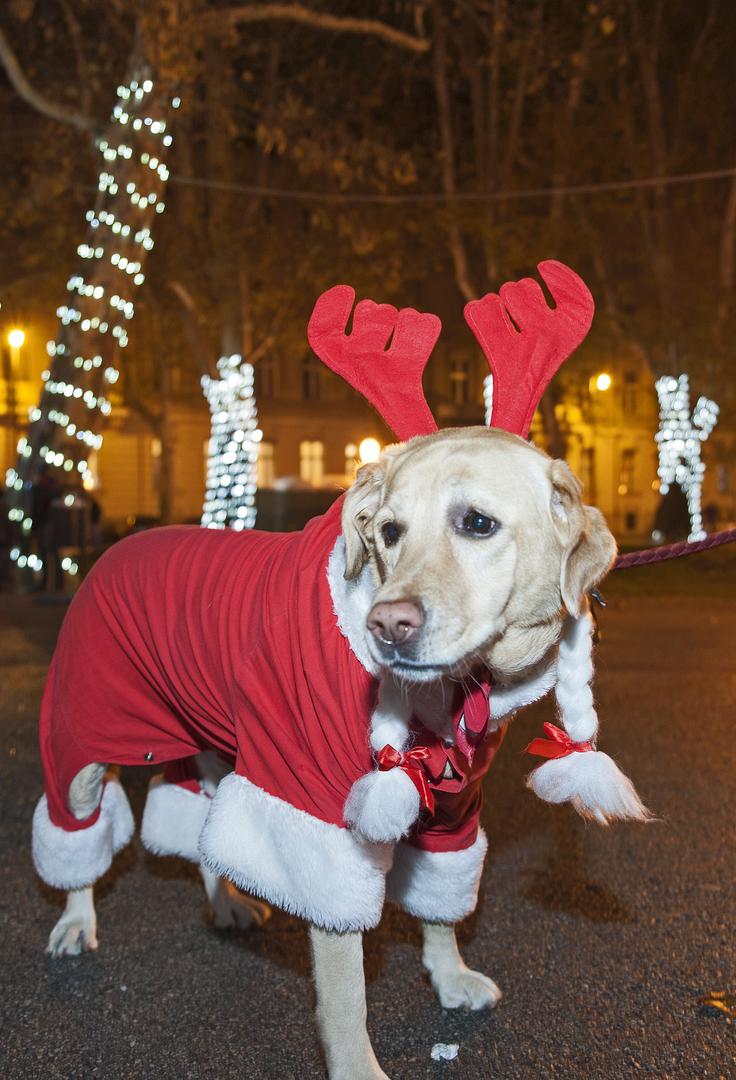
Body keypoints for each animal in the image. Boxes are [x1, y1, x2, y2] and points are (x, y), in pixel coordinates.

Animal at [31, 424, 647, 1080]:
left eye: (477, 523)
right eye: (389, 531)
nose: (387, 625)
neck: (461, 688)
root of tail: (118, 546)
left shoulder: (455, 806)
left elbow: (441, 902)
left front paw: (448, 975)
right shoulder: (322, 819)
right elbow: (347, 992)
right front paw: (358, 1066)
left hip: (222, 741)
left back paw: (225, 904)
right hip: (82, 748)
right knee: (77, 831)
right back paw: (75, 920)